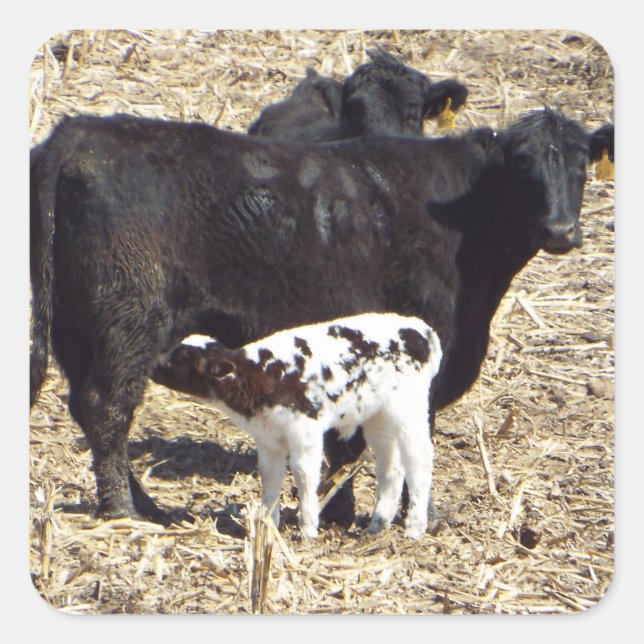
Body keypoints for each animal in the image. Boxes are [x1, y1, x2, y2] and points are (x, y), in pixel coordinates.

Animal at [30, 108, 612, 525]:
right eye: (523, 169)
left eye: (582, 165)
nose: (561, 230)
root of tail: (80, 131)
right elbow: (407, 435)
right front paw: (412, 515)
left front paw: (340, 508)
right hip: (128, 323)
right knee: (107, 406)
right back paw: (124, 511)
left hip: (77, 329)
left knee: (88, 407)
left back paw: (145, 505)